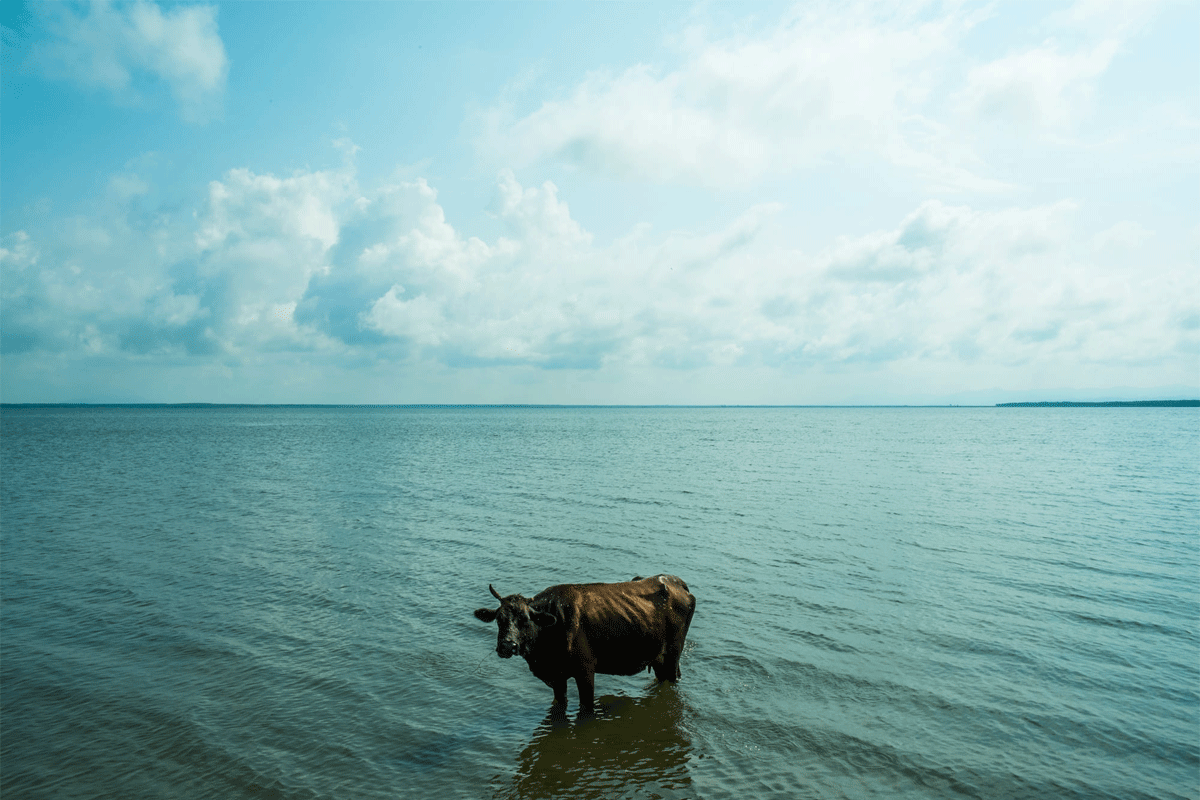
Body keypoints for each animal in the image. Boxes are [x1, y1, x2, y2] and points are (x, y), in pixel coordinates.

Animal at [468, 573, 696, 714]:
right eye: (499, 619)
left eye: (525, 619)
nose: (507, 646)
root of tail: (675, 581)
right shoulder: (557, 677)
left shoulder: (585, 670)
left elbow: (586, 708)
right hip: (658, 658)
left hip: (672, 654)